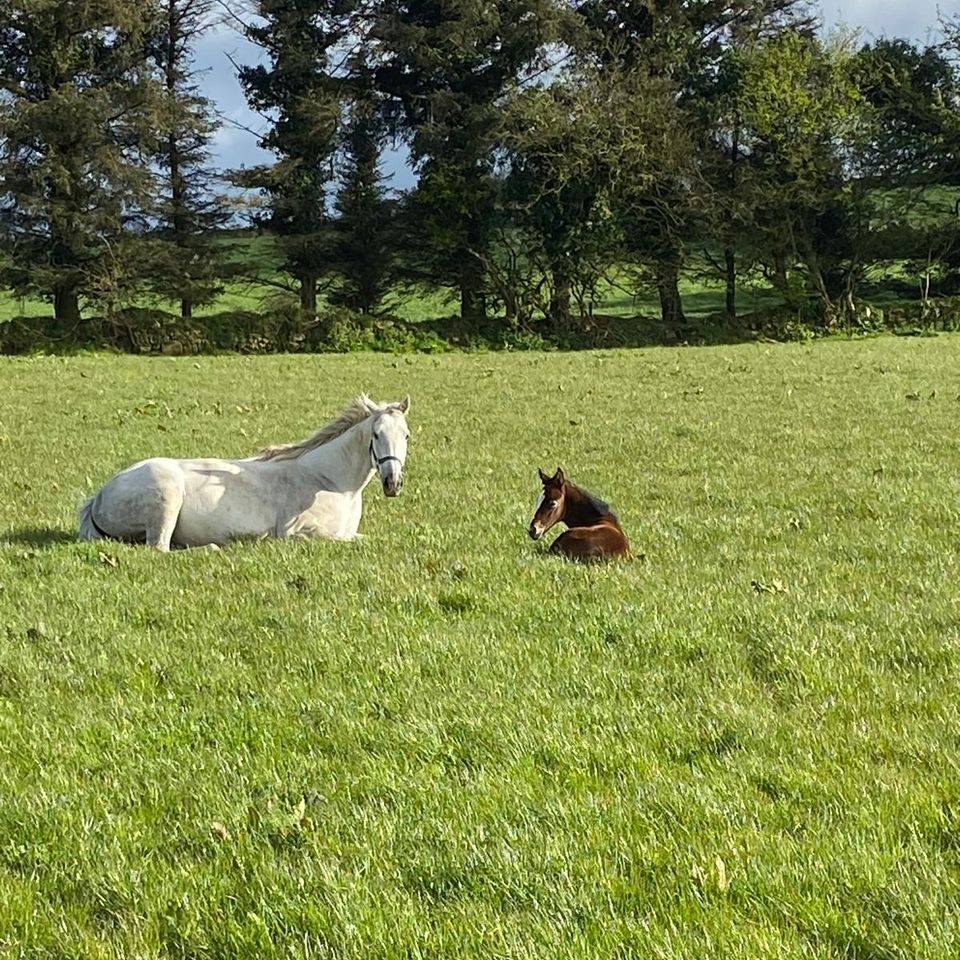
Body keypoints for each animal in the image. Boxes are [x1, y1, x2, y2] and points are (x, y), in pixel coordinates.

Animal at [78, 394, 410, 551]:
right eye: (377, 434)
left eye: (406, 435)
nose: (392, 483)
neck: (329, 481)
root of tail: (99, 497)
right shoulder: (297, 533)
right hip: (165, 499)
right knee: (160, 548)